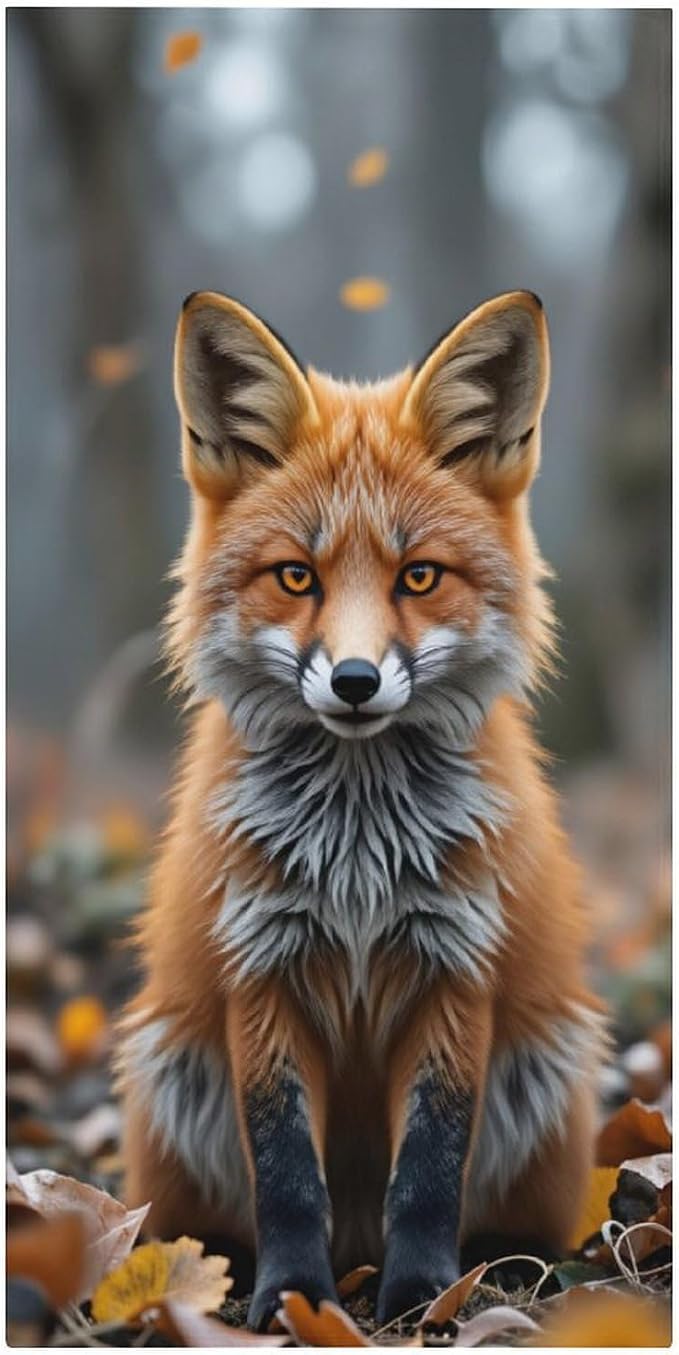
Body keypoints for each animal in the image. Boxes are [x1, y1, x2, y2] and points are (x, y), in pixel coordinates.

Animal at [119, 288, 606, 1330]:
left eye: (417, 575)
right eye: (295, 576)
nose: (351, 681)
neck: (356, 856)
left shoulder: (455, 967)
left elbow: (425, 1170)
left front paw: (423, 1296)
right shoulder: (258, 970)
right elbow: (285, 1175)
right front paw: (290, 1299)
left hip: (545, 1065)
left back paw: (498, 1270)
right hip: (171, 1066)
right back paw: (228, 1270)